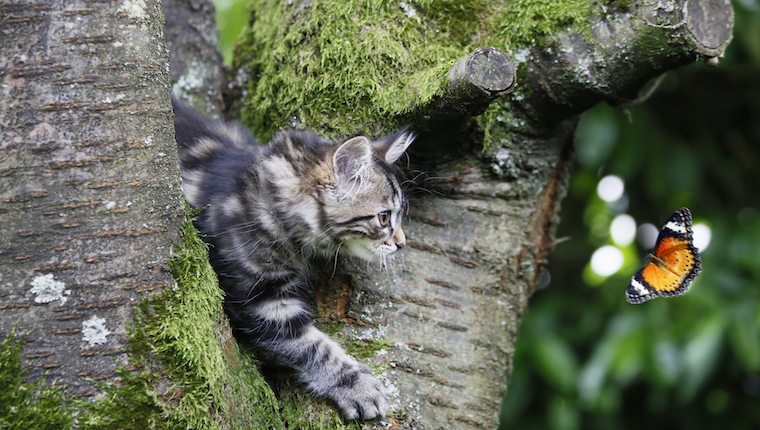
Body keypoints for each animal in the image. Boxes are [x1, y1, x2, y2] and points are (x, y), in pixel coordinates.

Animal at [173, 99, 416, 418]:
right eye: (384, 217)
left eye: (397, 215)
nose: (401, 243)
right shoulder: (259, 298)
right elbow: (314, 347)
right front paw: (356, 385)